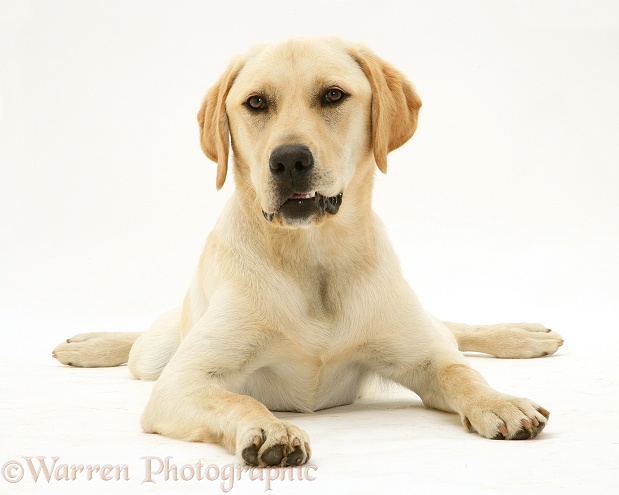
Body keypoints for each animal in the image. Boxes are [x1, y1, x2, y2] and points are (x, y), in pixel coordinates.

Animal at [54, 36, 568, 466]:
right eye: (255, 103)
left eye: (333, 96)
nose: (289, 160)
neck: (313, 259)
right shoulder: (183, 382)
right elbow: (238, 397)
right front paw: (271, 428)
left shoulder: (427, 358)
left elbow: (463, 374)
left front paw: (500, 401)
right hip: (157, 355)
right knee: (142, 340)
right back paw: (89, 343)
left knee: (451, 331)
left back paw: (523, 335)